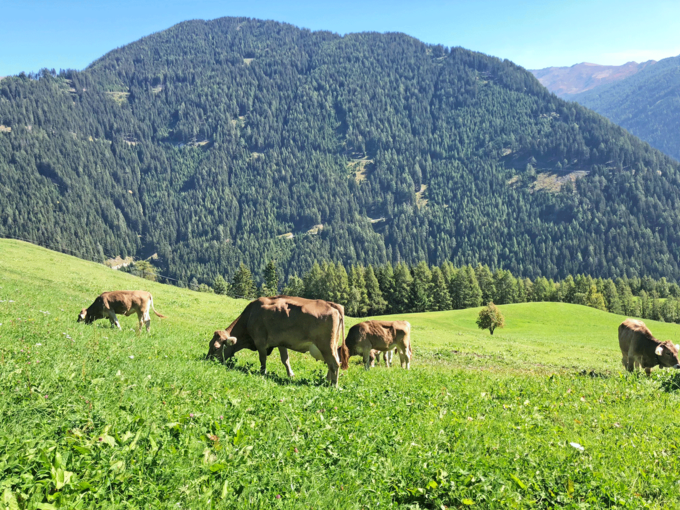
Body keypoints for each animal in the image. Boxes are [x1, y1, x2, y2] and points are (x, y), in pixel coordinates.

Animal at [206, 296, 346, 384]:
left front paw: (262, 373)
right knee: (333, 363)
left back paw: (333, 385)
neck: (250, 315)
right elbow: (285, 360)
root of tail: (332, 304)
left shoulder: (260, 342)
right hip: (331, 346)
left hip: (326, 346)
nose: (207, 360)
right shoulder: (281, 342)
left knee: (334, 363)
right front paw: (291, 375)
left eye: (216, 348)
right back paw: (327, 381)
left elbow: (262, 359)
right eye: (209, 344)